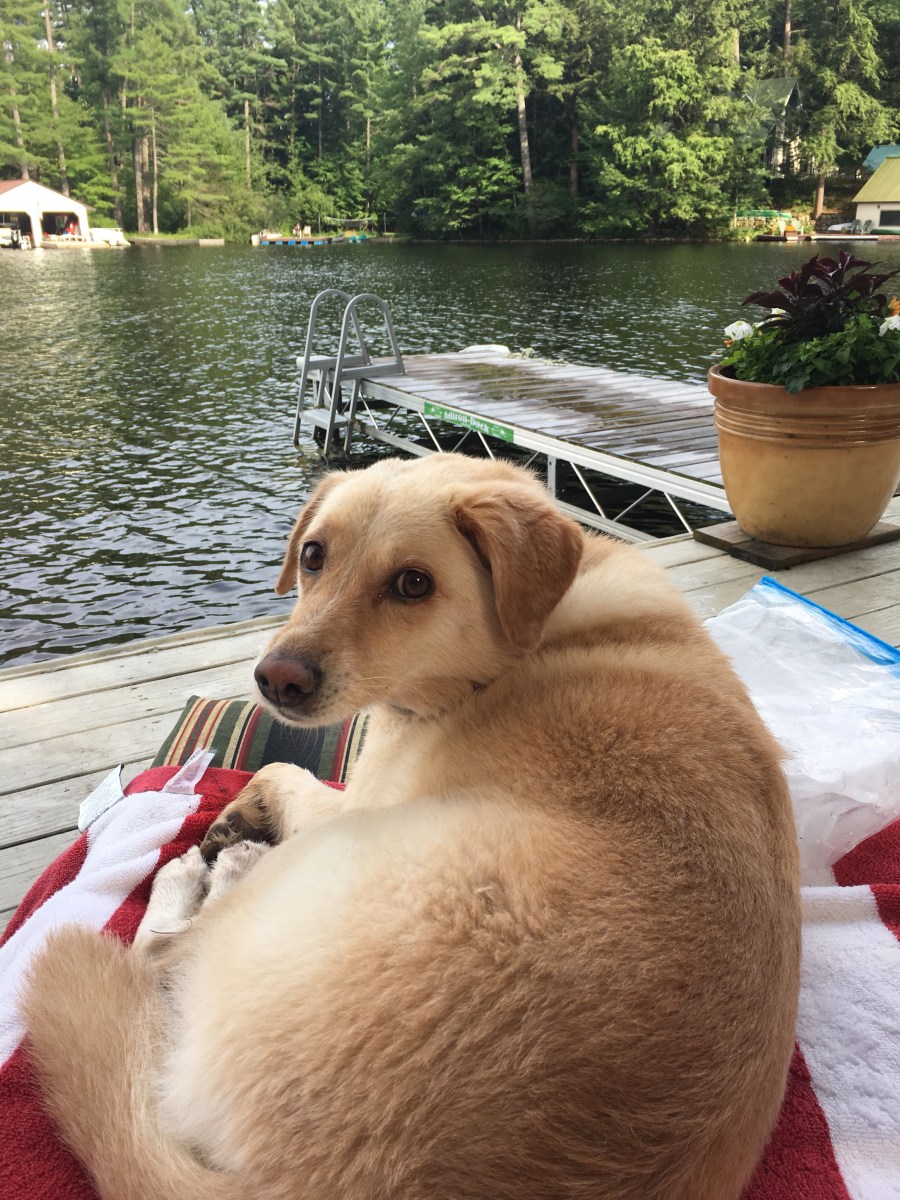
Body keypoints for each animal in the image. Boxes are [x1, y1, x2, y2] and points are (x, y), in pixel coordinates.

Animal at [23, 452, 800, 1200]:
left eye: (413, 584)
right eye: (313, 555)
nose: (276, 680)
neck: (528, 637)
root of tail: (308, 1183)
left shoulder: (357, 796)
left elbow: (283, 769)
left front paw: (244, 810)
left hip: (334, 858)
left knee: (159, 953)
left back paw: (207, 870)